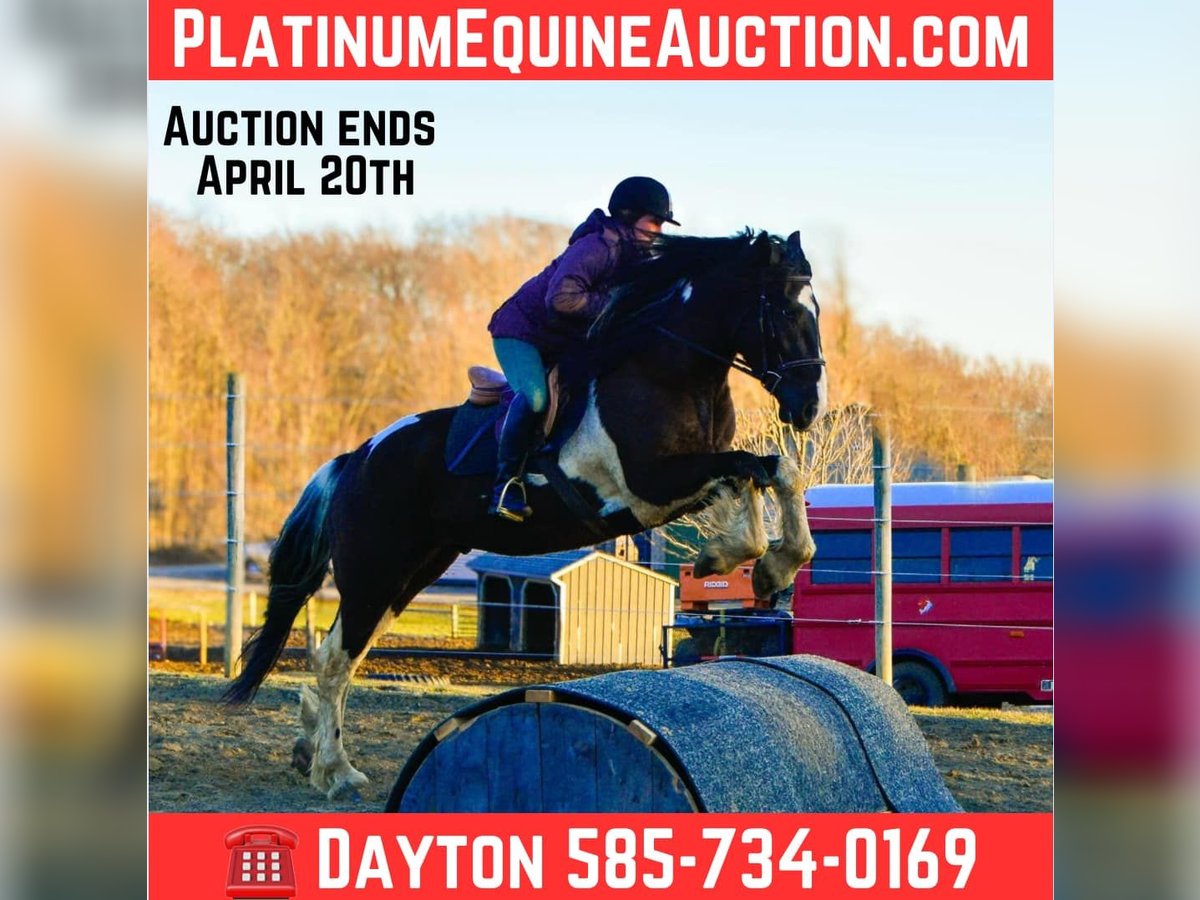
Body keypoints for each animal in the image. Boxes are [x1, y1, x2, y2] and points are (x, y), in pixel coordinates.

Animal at [224, 228, 828, 800]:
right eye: (787, 311)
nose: (808, 407)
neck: (668, 372)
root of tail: (357, 457)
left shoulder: (686, 479)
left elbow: (766, 473)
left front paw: (761, 564)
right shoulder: (647, 487)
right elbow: (754, 474)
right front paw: (742, 560)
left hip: (413, 571)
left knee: (345, 656)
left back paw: (310, 752)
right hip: (375, 571)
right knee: (335, 659)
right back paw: (336, 771)